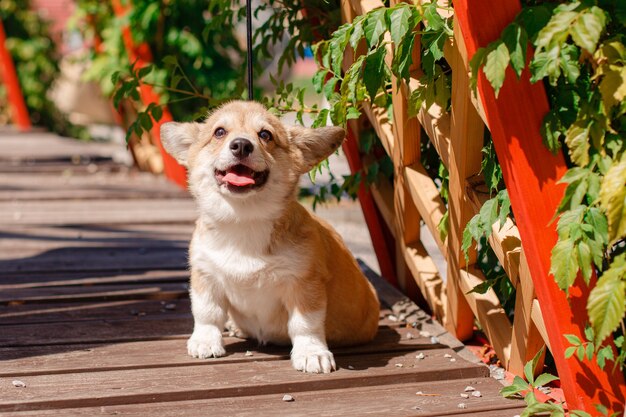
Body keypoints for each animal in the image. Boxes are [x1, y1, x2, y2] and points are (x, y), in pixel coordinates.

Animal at [160, 101, 376, 374]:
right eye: (219, 132)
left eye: (265, 135)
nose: (241, 145)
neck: (243, 221)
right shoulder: (206, 276)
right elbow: (207, 313)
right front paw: (205, 341)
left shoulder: (304, 285)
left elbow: (305, 324)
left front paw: (311, 353)